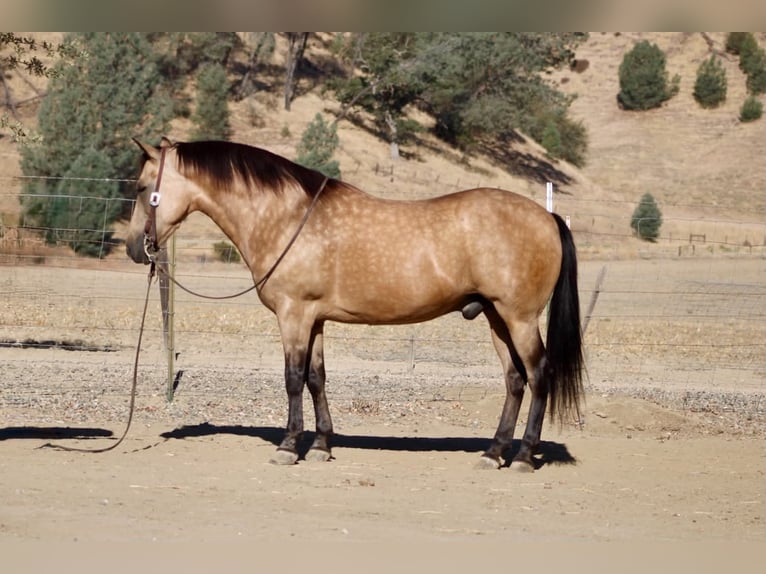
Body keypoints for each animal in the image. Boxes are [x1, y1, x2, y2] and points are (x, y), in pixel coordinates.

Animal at [125, 137, 584, 471]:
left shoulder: (294, 315)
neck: (287, 217)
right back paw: (493, 453)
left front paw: (288, 446)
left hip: (519, 318)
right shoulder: (314, 319)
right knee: (514, 380)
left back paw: (523, 456)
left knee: (538, 375)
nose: (134, 248)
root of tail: (547, 218)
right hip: (495, 317)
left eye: (142, 188)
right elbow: (316, 379)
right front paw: (321, 446)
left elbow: (293, 379)